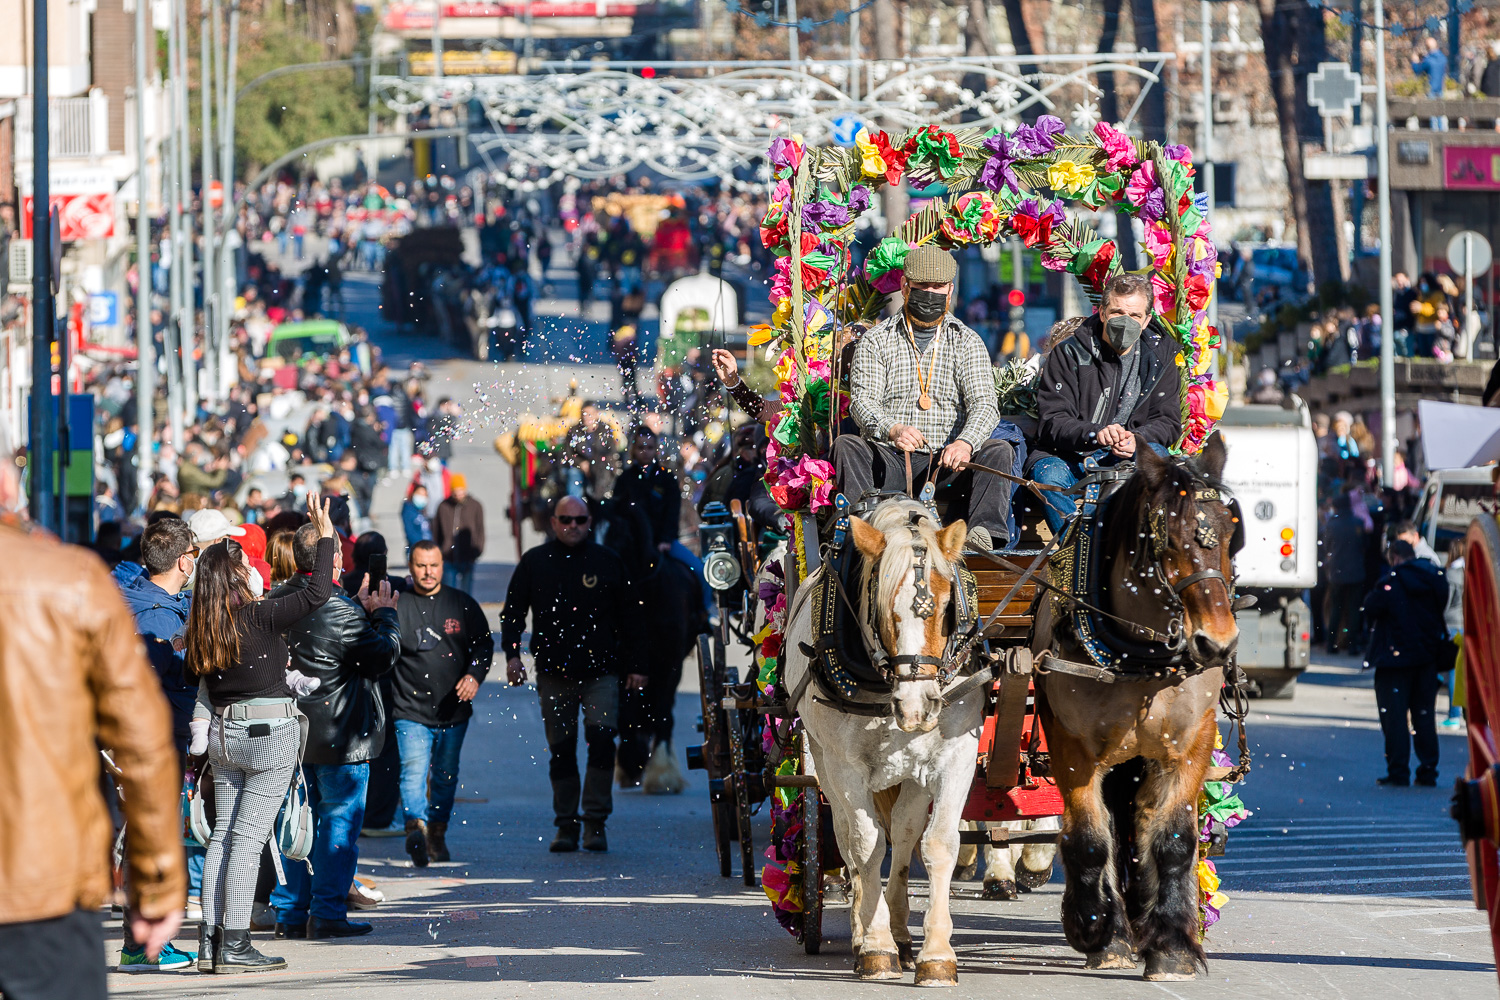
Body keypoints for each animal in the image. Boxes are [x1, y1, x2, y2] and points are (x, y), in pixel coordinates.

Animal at [786, 500, 984, 983]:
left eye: (947, 606)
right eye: (881, 610)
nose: (918, 707)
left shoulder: (956, 755)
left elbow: (937, 843)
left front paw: (936, 954)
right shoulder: (845, 766)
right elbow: (866, 844)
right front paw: (875, 947)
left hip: (911, 771)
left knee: (906, 830)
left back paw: (901, 932)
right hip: (822, 761)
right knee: (846, 835)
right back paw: (866, 933)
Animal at [1032, 434, 1242, 983]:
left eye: (1231, 533)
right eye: (1164, 537)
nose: (1217, 643)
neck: (1140, 658)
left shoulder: (1190, 744)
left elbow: (1174, 840)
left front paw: (1172, 946)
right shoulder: (1071, 747)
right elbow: (1088, 838)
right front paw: (1097, 931)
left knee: (1137, 823)